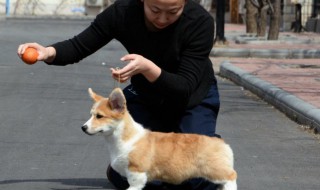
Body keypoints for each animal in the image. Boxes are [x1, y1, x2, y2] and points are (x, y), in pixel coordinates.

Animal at [82, 88, 238, 190]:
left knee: (231, 177)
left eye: (99, 116)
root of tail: (222, 143)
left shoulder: (136, 173)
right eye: (91, 114)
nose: (83, 128)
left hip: (215, 170)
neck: (124, 137)